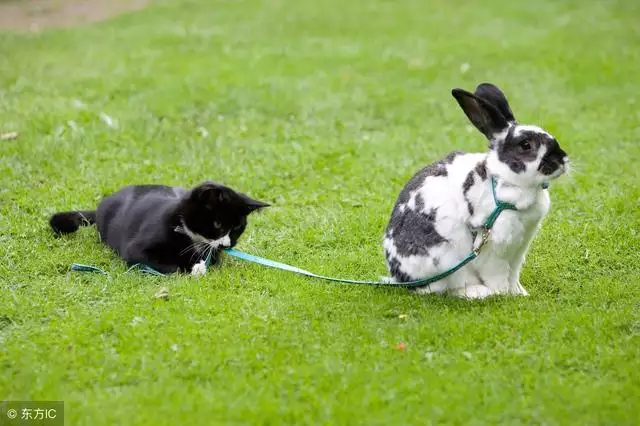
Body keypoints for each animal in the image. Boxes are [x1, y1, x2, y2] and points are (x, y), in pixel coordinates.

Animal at [50, 181, 268, 274]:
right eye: (218, 224)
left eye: (238, 227)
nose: (227, 245)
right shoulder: (136, 250)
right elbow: (171, 266)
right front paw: (191, 268)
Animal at [382, 82, 568, 296]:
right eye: (526, 145)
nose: (562, 160)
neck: (503, 180)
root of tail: (401, 278)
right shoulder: (493, 248)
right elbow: (497, 275)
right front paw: (502, 294)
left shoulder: (520, 247)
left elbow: (514, 274)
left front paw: (519, 293)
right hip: (445, 261)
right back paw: (478, 293)